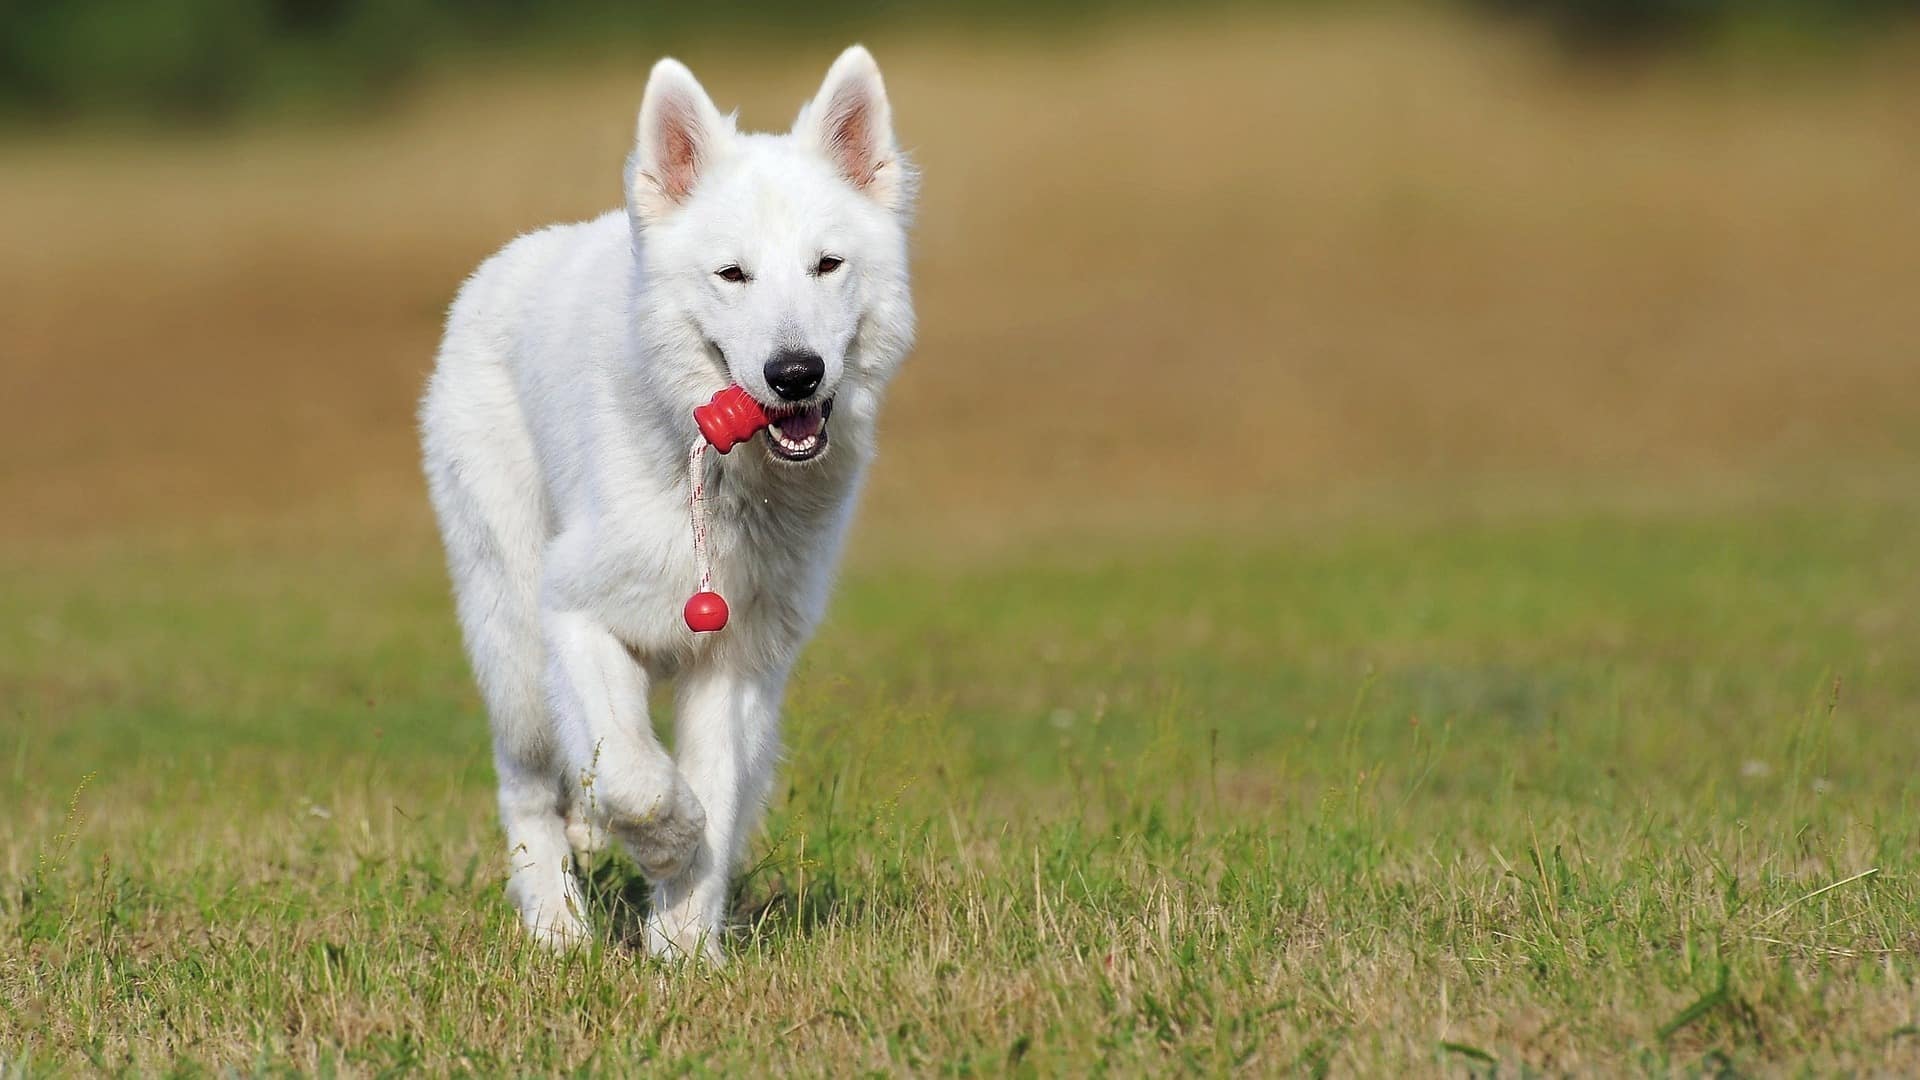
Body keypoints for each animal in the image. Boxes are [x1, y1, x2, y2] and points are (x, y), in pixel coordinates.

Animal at [418, 48, 921, 957]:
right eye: (733, 275)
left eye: (827, 265)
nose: (796, 374)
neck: (720, 480)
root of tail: (502, 265)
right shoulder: (574, 614)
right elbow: (636, 776)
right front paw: (665, 844)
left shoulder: (738, 662)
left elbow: (713, 788)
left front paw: (684, 947)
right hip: (512, 640)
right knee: (528, 784)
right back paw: (557, 928)